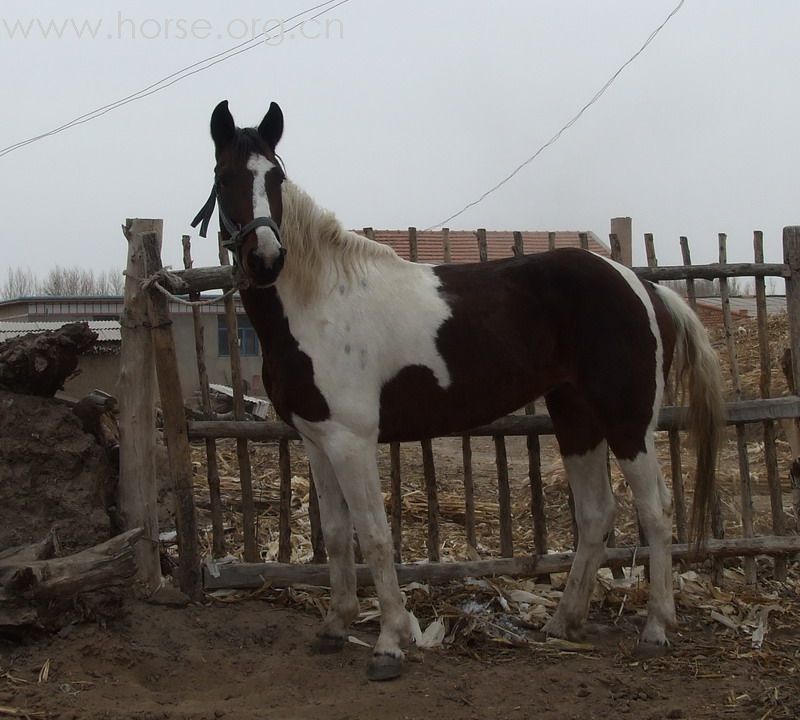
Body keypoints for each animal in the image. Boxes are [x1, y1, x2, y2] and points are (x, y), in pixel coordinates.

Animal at [194, 100, 724, 680]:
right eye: (224, 177)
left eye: (277, 178)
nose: (266, 260)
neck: (319, 303)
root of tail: (642, 286)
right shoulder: (317, 439)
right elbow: (335, 534)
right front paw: (335, 627)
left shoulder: (352, 441)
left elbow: (374, 536)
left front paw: (389, 644)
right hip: (576, 417)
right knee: (596, 514)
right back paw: (562, 622)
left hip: (628, 422)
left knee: (655, 511)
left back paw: (655, 630)